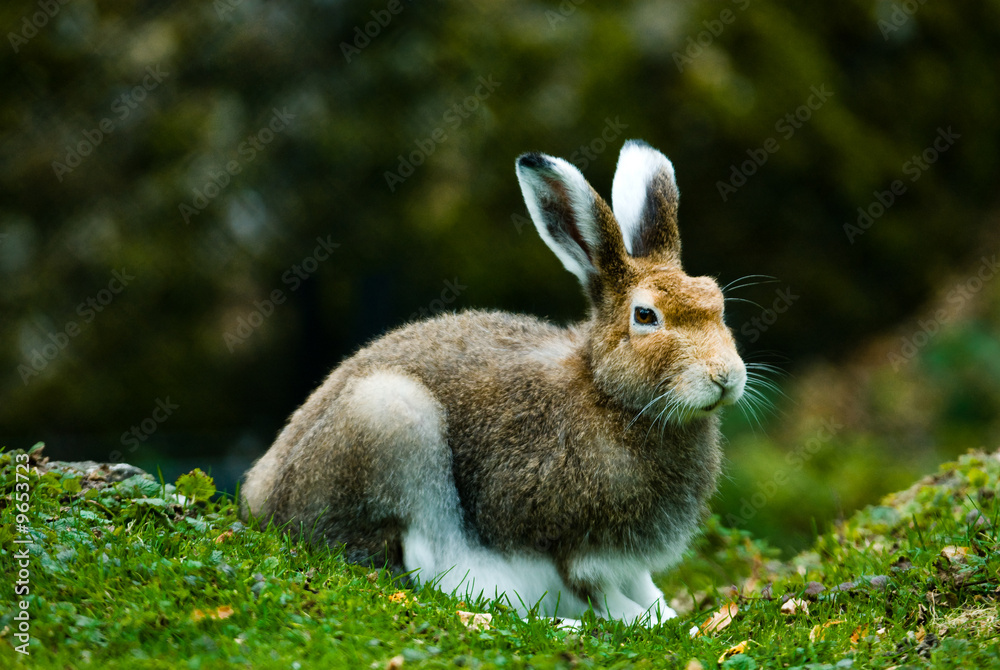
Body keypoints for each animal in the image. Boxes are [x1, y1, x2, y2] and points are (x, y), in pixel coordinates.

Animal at [240, 139, 747, 626]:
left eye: (715, 298)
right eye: (645, 316)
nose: (725, 376)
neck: (607, 392)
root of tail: (263, 500)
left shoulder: (627, 561)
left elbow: (641, 583)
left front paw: (669, 615)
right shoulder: (567, 539)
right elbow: (594, 586)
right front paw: (641, 622)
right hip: (393, 421)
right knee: (435, 563)